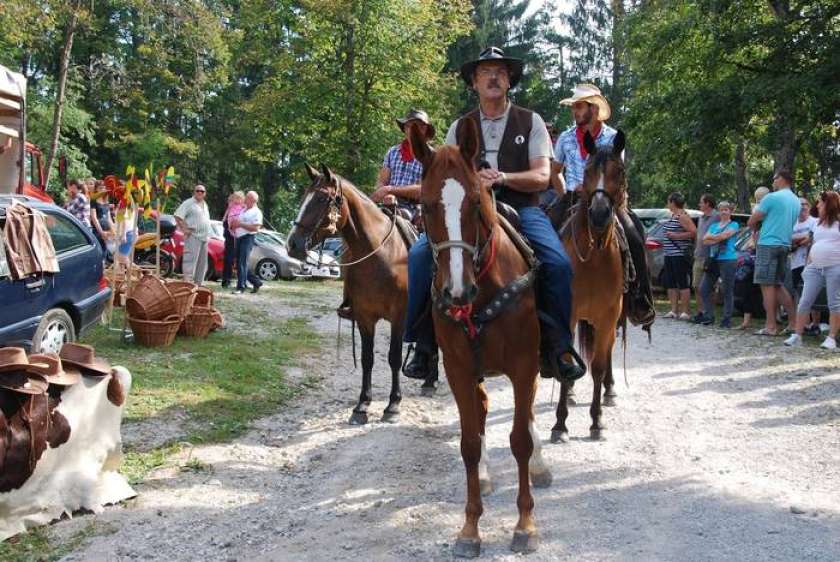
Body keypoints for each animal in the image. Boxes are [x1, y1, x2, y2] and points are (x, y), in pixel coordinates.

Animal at [290, 164, 434, 422]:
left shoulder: (399, 317)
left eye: (322, 198)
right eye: (303, 197)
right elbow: (368, 359)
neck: (381, 256)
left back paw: (429, 380)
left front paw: (393, 405)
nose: (293, 244)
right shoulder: (365, 316)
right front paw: (362, 405)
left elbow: (394, 358)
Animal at [410, 119, 556, 556]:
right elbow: (470, 444)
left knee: (528, 416)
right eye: (426, 205)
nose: (456, 292)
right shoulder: (459, 370)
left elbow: (520, 439)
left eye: (476, 202)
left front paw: (525, 525)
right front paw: (470, 529)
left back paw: (541, 465)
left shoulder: (524, 365)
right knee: (484, 411)